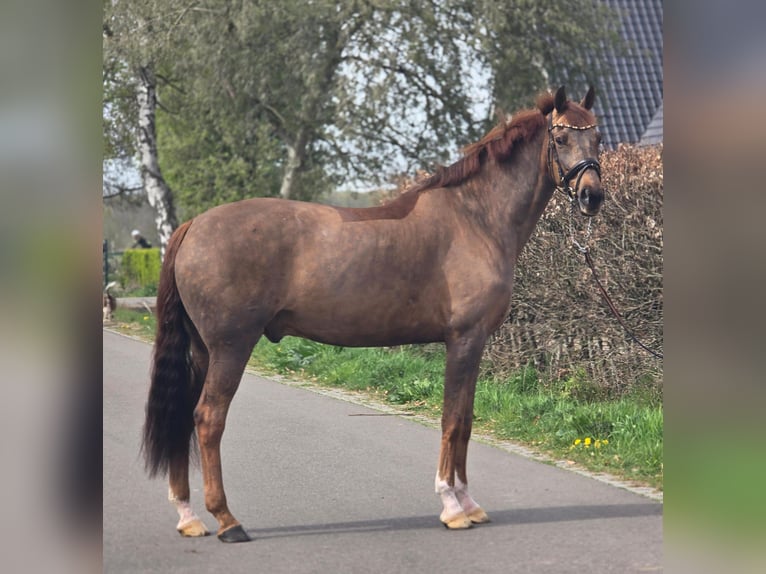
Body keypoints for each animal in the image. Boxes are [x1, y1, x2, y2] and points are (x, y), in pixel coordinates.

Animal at [142, 85, 604, 542]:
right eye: (562, 138)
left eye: (597, 138)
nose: (593, 196)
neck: (475, 217)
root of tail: (193, 227)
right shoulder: (464, 340)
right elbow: (452, 419)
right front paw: (452, 506)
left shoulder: (474, 345)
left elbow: (467, 420)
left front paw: (470, 504)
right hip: (230, 348)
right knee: (208, 419)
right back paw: (227, 520)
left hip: (202, 351)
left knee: (184, 415)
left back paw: (189, 516)